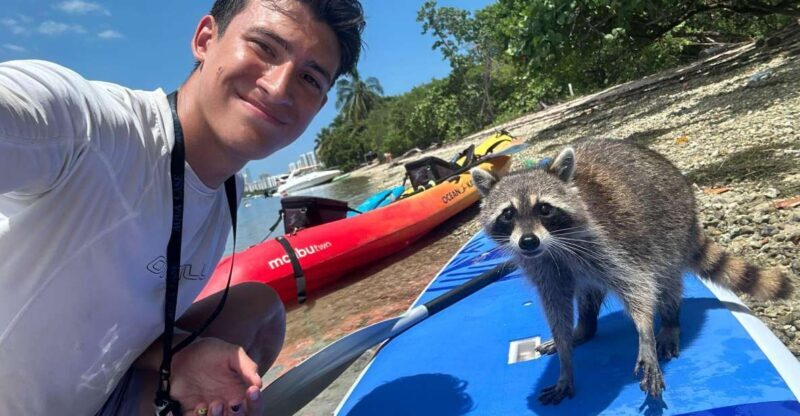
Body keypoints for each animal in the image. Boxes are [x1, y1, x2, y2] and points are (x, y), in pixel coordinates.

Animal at [470, 138, 793, 405]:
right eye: (508, 214)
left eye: (545, 209)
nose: (528, 241)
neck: (552, 247)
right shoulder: (544, 269)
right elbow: (556, 308)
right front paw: (565, 359)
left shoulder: (608, 244)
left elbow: (639, 286)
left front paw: (645, 333)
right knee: (589, 293)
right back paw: (584, 328)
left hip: (670, 230)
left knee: (667, 282)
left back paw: (670, 321)